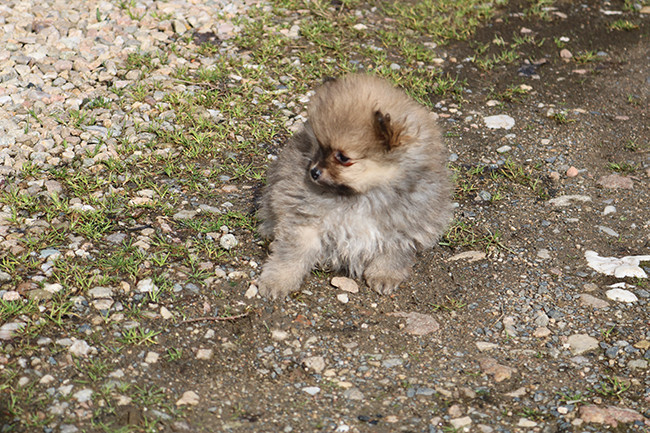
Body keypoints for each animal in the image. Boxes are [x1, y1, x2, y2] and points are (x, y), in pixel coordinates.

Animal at [256, 74, 453, 299]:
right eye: (318, 147)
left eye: (343, 157)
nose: (313, 172)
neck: (363, 195)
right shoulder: (305, 219)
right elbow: (292, 254)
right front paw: (277, 280)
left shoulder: (403, 226)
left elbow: (394, 251)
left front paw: (384, 274)